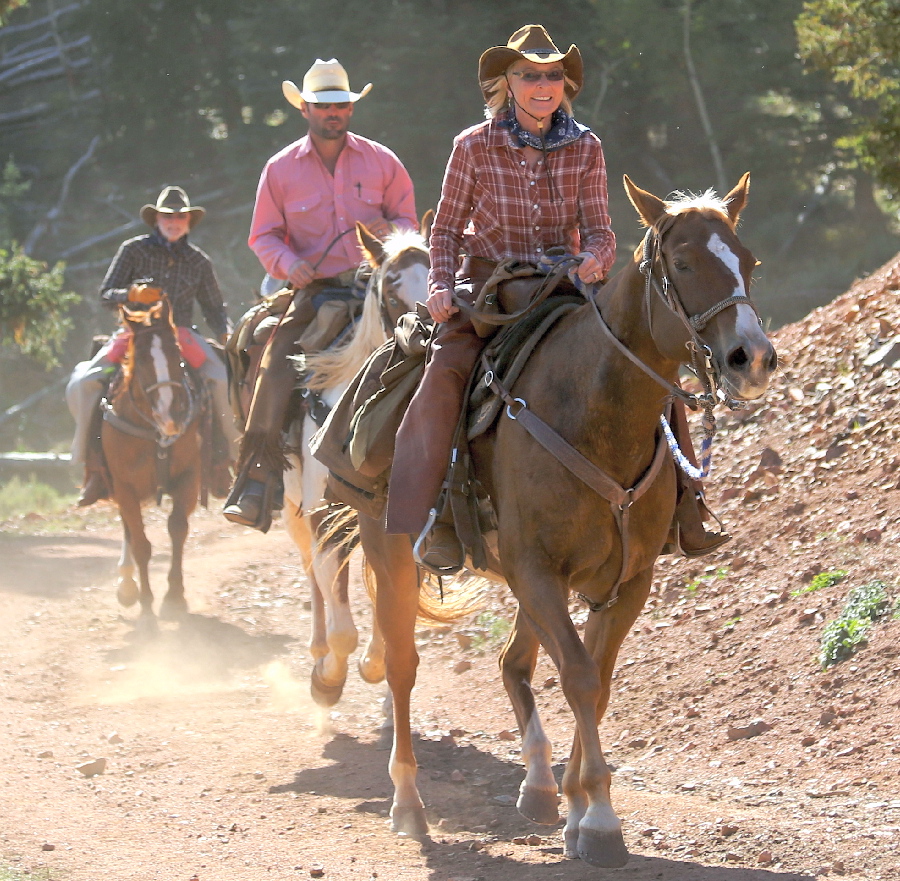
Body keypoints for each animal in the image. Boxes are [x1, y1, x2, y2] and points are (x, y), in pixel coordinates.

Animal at [101, 297, 202, 626]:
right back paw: (127, 585)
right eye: (142, 360)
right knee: (129, 532)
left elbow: (178, 528)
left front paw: (174, 596)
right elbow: (141, 544)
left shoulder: (188, 478)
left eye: (176, 353)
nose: (171, 415)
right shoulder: (124, 488)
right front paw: (146, 602)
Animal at [351, 174, 778, 866]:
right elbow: (577, 676)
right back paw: (409, 804)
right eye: (684, 263)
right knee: (403, 666)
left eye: (749, 260)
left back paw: (539, 789)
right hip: (391, 553)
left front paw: (581, 808)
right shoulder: (539, 572)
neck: (594, 409)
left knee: (512, 664)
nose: (754, 358)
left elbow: (597, 682)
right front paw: (601, 820)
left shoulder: (627, 581)